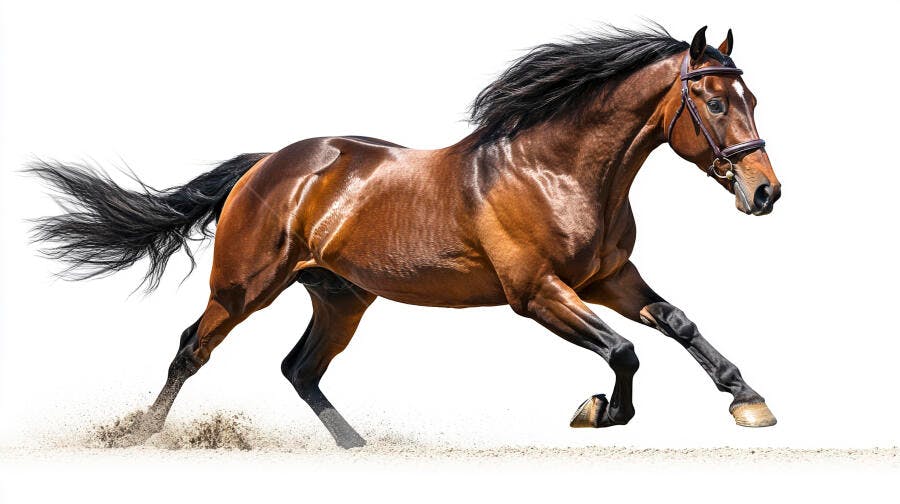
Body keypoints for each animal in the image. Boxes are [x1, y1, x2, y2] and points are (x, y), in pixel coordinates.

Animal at [30, 25, 781, 449]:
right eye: (716, 101)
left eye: (752, 98)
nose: (765, 193)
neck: (558, 171)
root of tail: (266, 165)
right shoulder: (537, 292)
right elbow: (624, 350)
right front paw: (597, 412)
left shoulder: (608, 279)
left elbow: (679, 324)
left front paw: (749, 402)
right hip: (244, 288)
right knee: (192, 349)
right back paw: (139, 434)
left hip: (340, 297)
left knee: (299, 369)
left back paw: (358, 446)